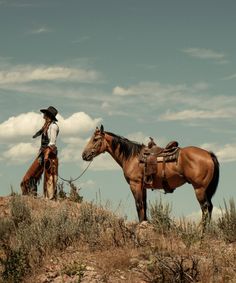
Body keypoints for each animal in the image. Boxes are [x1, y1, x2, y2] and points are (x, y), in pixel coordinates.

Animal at [81, 125, 219, 232]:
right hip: (205, 190)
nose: (84, 155)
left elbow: (138, 205)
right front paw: (144, 224)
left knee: (205, 208)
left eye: (95, 139)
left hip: (199, 188)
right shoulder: (143, 187)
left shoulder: (135, 184)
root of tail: (208, 154)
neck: (133, 157)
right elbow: (144, 206)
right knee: (210, 207)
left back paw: (201, 232)